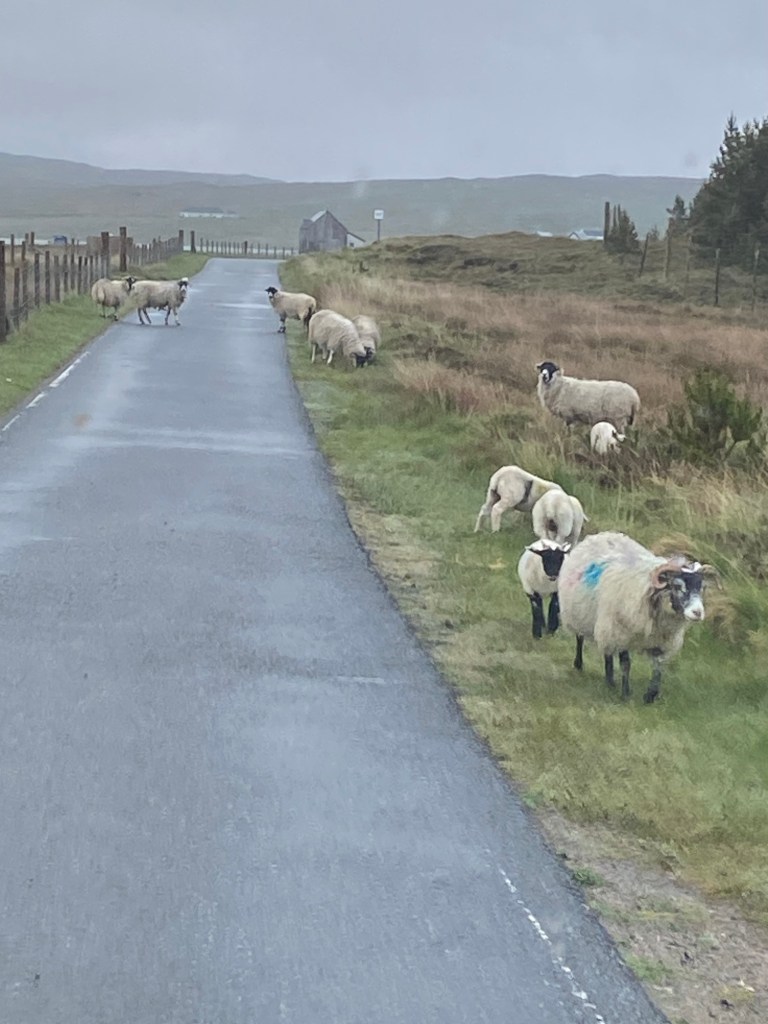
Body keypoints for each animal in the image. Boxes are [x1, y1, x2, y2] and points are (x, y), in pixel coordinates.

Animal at [558, 531, 717, 702]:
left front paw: (650, 695)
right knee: (580, 639)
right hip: (583, 615)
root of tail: (603, 534)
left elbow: (658, 666)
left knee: (607, 650)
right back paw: (581, 665)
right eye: (677, 586)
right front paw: (626, 693)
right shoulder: (621, 632)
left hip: (604, 623)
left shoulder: (661, 640)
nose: (698, 612)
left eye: (701, 588)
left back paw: (610, 680)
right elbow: (626, 664)